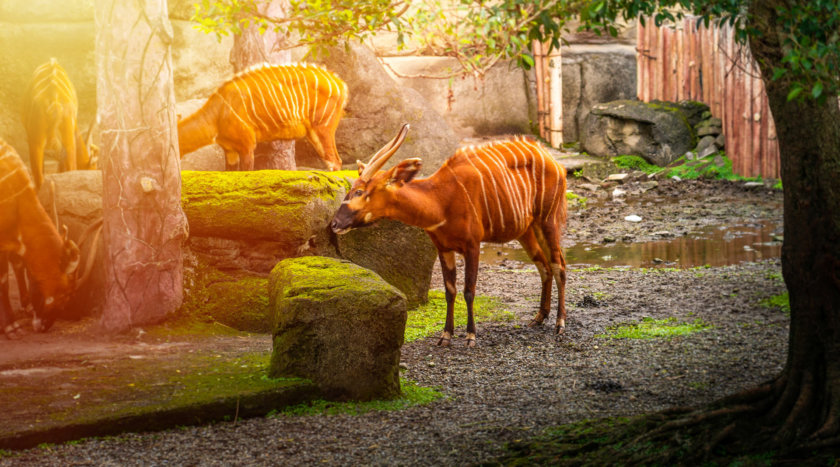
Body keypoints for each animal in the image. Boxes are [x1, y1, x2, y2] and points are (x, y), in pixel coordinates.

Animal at [0, 137, 101, 338]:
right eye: (65, 294)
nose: (44, 325)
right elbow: (4, 281)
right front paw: (11, 327)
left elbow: (19, 264)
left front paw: (27, 307)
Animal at [177, 63, 348, 171]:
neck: (218, 113)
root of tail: (341, 84)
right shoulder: (229, 150)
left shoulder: (247, 146)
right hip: (312, 133)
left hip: (323, 127)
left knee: (335, 162)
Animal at [330, 125, 572, 348]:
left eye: (359, 192)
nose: (334, 224)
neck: (440, 199)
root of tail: (553, 160)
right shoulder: (444, 249)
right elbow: (450, 291)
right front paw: (445, 336)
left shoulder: (472, 246)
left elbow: (469, 290)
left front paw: (471, 336)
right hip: (527, 231)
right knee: (544, 266)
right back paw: (539, 317)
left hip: (548, 221)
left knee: (559, 264)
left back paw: (560, 324)